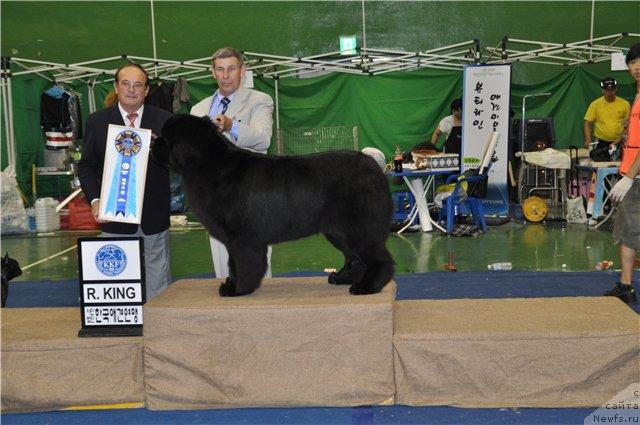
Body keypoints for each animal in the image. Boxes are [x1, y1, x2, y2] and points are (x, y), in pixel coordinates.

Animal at [154, 114, 396, 296]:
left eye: (165, 138)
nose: (154, 142)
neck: (210, 164)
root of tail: (374, 168)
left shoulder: (242, 237)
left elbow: (243, 263)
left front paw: (238, 289)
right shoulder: (235, 239)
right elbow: (233, 264)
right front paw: (231, 284)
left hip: (357, 227)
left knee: (379, 258)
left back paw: (367, 286)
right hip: (338, 230)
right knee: (355, 257)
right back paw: (342, 278)